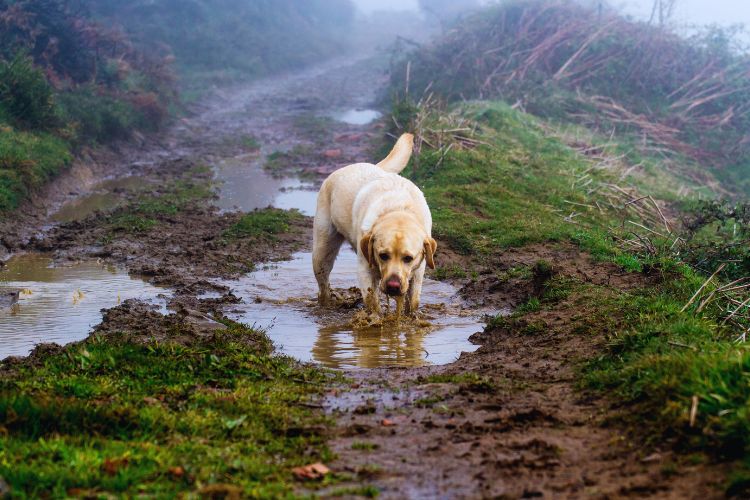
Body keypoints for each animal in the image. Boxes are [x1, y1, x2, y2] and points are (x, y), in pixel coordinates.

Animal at [312, 132, 438, 312]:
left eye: (408, 258)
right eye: (383, 255)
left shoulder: (418, 272)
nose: (393, 286)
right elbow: (373, 304)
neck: (398, 209)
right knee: (323, 286)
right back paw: (325, 304)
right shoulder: (365, 270)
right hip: (322, 253)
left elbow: (412, 303)